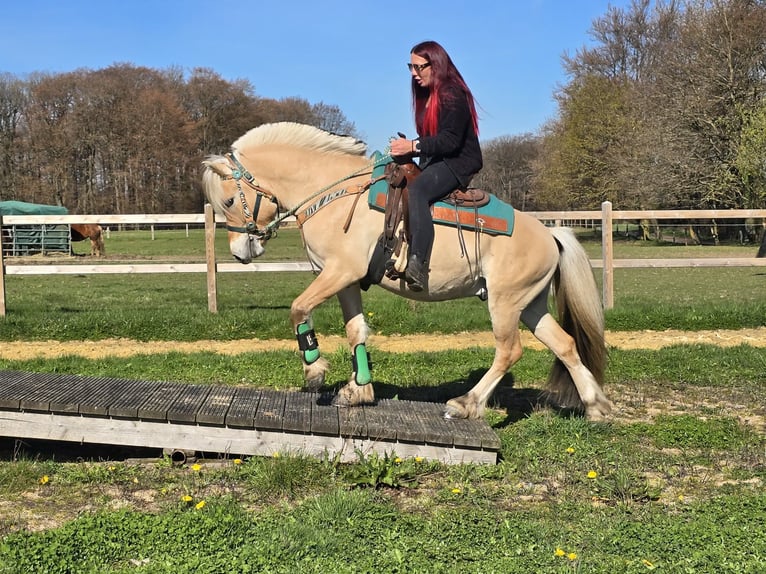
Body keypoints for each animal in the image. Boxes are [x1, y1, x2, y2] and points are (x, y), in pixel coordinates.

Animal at [201, 122, 612, 421]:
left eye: (228, 200)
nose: (240, 252)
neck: (336, 195)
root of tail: (550, 234)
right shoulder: (345, 281)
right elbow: (355, 331)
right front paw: (358, 390)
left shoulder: (338, 272)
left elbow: (299, 309)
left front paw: (315, 371)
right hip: (529, 305)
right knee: (566, 344)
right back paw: (596, 406)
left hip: (505, 304)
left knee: (509, 351)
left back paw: (466, 403)